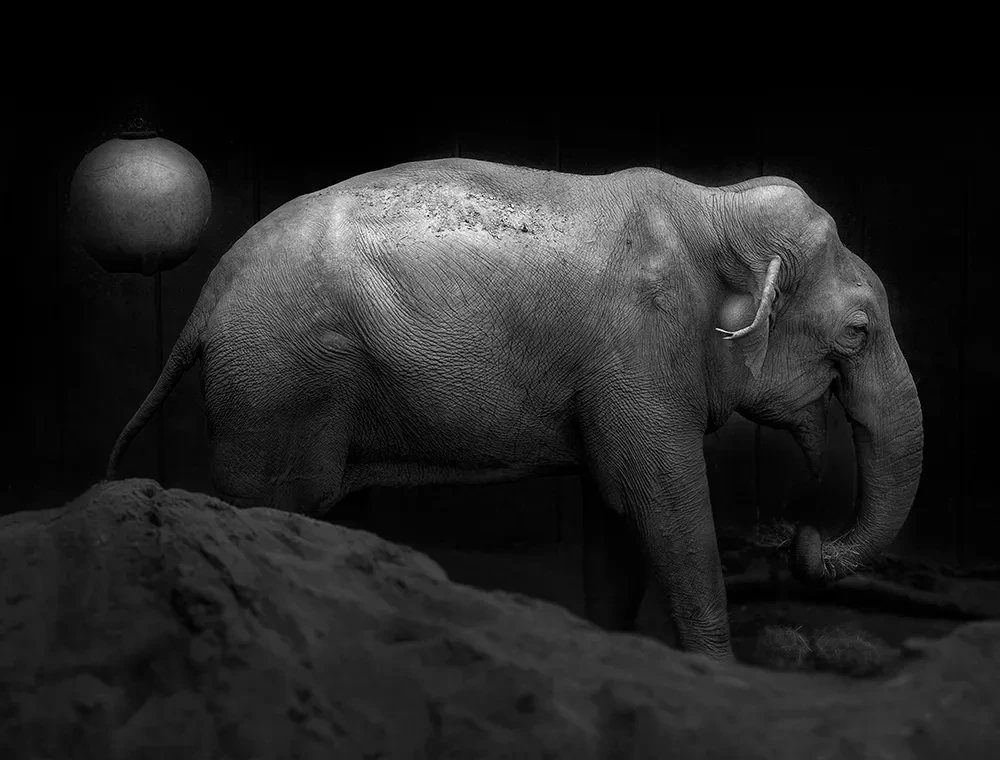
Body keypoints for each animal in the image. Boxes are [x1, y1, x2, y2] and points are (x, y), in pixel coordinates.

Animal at [106, 157, 923, 662]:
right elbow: (669, 509)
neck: (713, 205)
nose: (799, 538)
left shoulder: (617, 380)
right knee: (274, 510)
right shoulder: (637, 356)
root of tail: (206, 296)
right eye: (858, 332)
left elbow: (617, 518)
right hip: (276, 387)